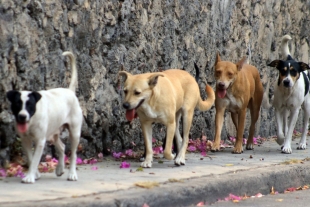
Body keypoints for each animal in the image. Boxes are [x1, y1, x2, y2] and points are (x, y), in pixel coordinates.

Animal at [6, 51, 83, 183]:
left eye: (30, 105)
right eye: (17, 104)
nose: (22, 116)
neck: (32, 120)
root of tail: (70, 91)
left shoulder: (40, 141)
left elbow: (35, 160)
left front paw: (30, 177)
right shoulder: (25, 140)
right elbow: (31, 158)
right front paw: (35, 174)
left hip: (74, 133)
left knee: (73, 154)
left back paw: (72, 174)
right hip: (53, 133)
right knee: (62, 147)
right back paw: (60, 168)